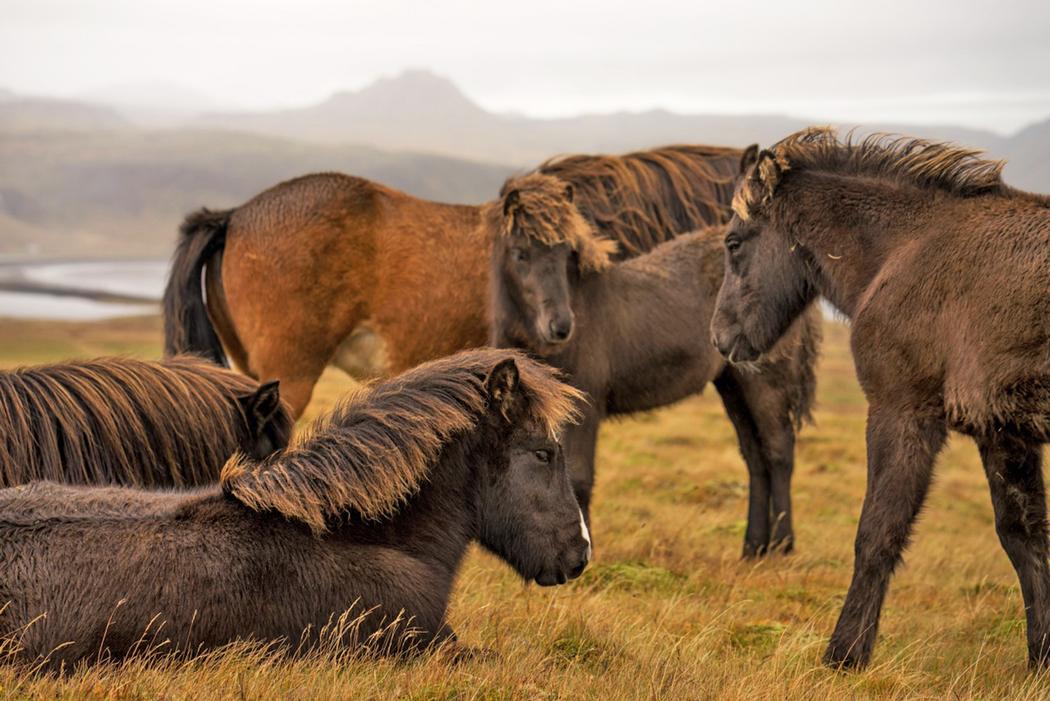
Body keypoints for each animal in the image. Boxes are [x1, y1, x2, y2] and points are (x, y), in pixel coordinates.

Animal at [487, 173, 820, 556]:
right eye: (520, 253)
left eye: (566, 251)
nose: (561, 326)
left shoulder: (586, 407)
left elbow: (579, 477)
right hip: (732, 385)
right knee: (756, 458)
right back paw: (753, 548)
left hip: (765, 384)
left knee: (779, 453)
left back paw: (782, 545)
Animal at [710, 127, 1050, 670]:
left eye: (733, 242)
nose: (720, 338)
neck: (906, 249)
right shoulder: (1003, 433)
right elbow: (1024, 538)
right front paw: (1041, 658)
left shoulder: (901, 412)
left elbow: (877, 533)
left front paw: (845, 654)